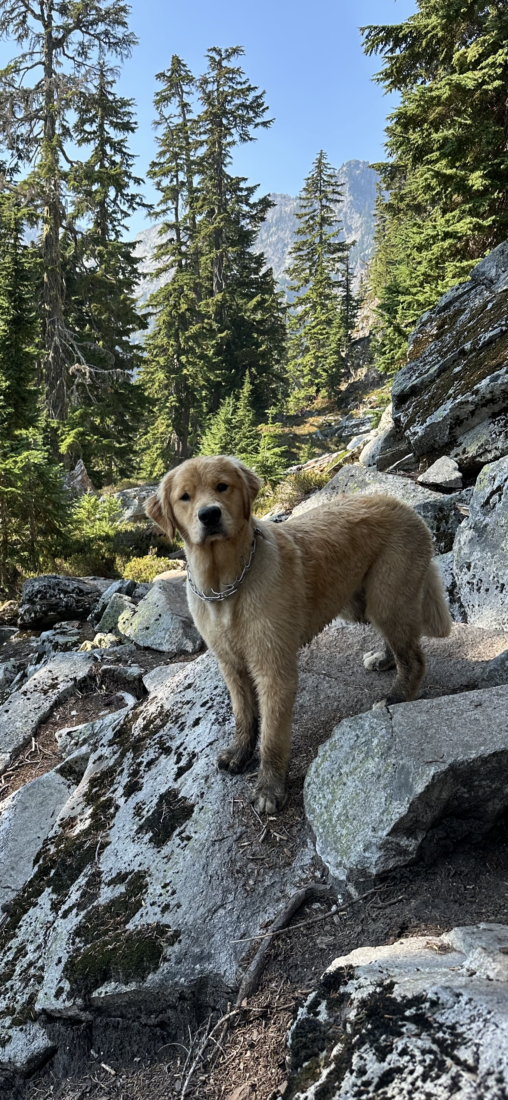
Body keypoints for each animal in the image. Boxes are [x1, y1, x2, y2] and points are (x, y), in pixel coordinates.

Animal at [145, 457, 450, 818]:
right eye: (185, 496)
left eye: (222, 487)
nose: (210, 515)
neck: (226, 584)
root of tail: (404, 506)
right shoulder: (231, 664)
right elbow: (244, 714)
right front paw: (240, 752)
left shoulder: (273, 668)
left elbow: (273, 736)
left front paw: (269, 788)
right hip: (365, 602)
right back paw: (385, 658)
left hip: (387, 596)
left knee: (414, 657)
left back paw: (396, 697)